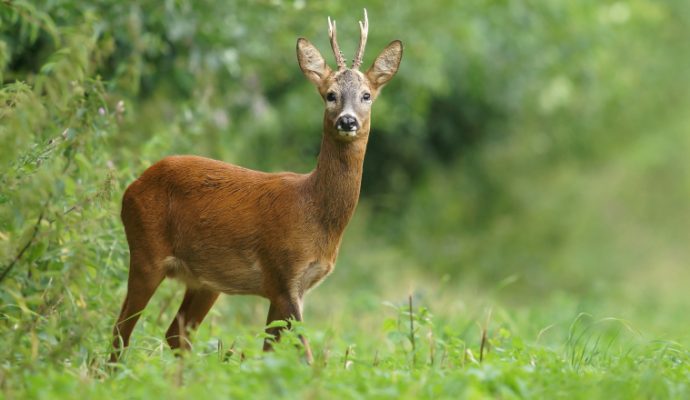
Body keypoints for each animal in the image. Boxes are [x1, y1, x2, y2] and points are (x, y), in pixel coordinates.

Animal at [109, 10, 400, 362]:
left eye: (366, 95)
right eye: (330, 94)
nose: (347, 121)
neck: (314, 210)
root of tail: (132, 186)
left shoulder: (291, 287)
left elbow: (272, 351)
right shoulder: (282, 273)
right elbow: (303, 353)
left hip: (205, 281)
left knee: (175, 333)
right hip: (145, 251)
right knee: (121, 331)